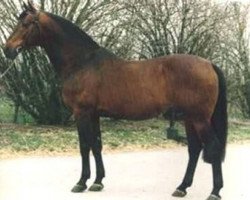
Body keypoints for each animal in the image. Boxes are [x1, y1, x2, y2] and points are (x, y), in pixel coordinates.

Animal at [3, 2, 227, 199]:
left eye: (26, 24)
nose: (7, 49)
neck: (82, 62)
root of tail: (209, 64)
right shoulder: (94, 114)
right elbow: (96, 145)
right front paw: (97, 182)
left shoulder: (81, 113)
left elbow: (84, 146)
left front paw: (81, 182)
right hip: (189, 118)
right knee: (194, 149)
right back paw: (182, 188)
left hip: (199, 119)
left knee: (213, 147)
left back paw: (214, 192)